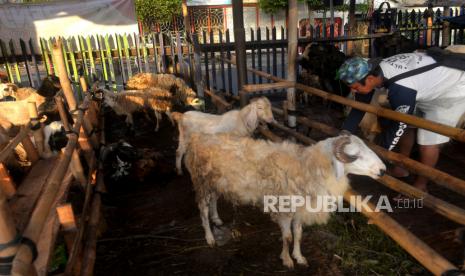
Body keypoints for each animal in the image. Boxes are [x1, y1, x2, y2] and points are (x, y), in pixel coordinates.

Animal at [184, 133, 384, 268]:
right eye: (356, 155)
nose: (383, 170)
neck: (308, 167)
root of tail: (197, 138)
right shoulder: (284, 209)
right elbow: (287, 237)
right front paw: (287, 260)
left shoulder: (300, 209)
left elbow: (299, 234)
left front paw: (299, 257)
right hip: (201, 181)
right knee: (202, 209)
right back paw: (210, 237)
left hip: (215, 182)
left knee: (213, 200)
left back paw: (217, 218)